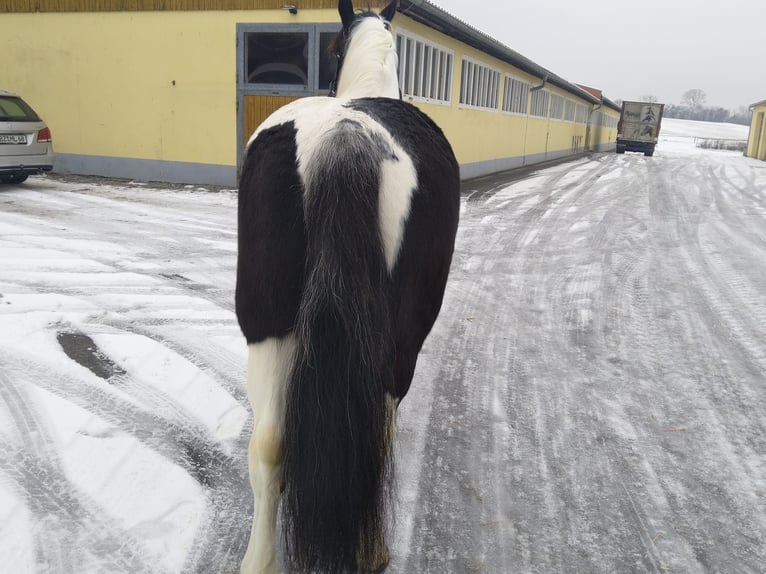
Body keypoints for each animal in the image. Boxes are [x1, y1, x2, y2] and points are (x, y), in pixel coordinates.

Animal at [235, 1, 460, 572]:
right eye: (337, 49)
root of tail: (346, 132)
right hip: (398, 340)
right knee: (375, 432)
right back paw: (371, 548)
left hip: (267, 322)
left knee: (269, 443)